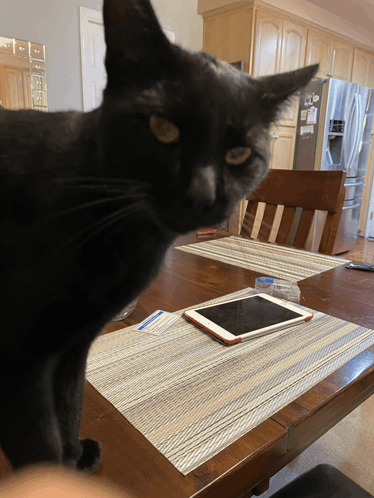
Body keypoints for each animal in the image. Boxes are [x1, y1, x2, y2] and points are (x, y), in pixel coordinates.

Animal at [0, 0, 318, 472]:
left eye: (239, 153)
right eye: (163, 128)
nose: (203, 194)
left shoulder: (71, 350)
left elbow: (70, 408)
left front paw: (74, 459)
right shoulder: (20, 361)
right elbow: (41, 450)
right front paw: (58, 474)